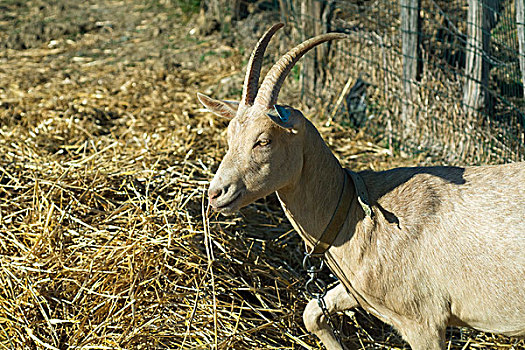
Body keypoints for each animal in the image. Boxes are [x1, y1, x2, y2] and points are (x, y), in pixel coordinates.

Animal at [196, 23, 524, 348]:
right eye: (229, 136)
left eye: (263, 140)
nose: (216, 193)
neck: (359, 211)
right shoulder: (358, 290)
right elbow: (312, 312)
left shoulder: (424, 321)